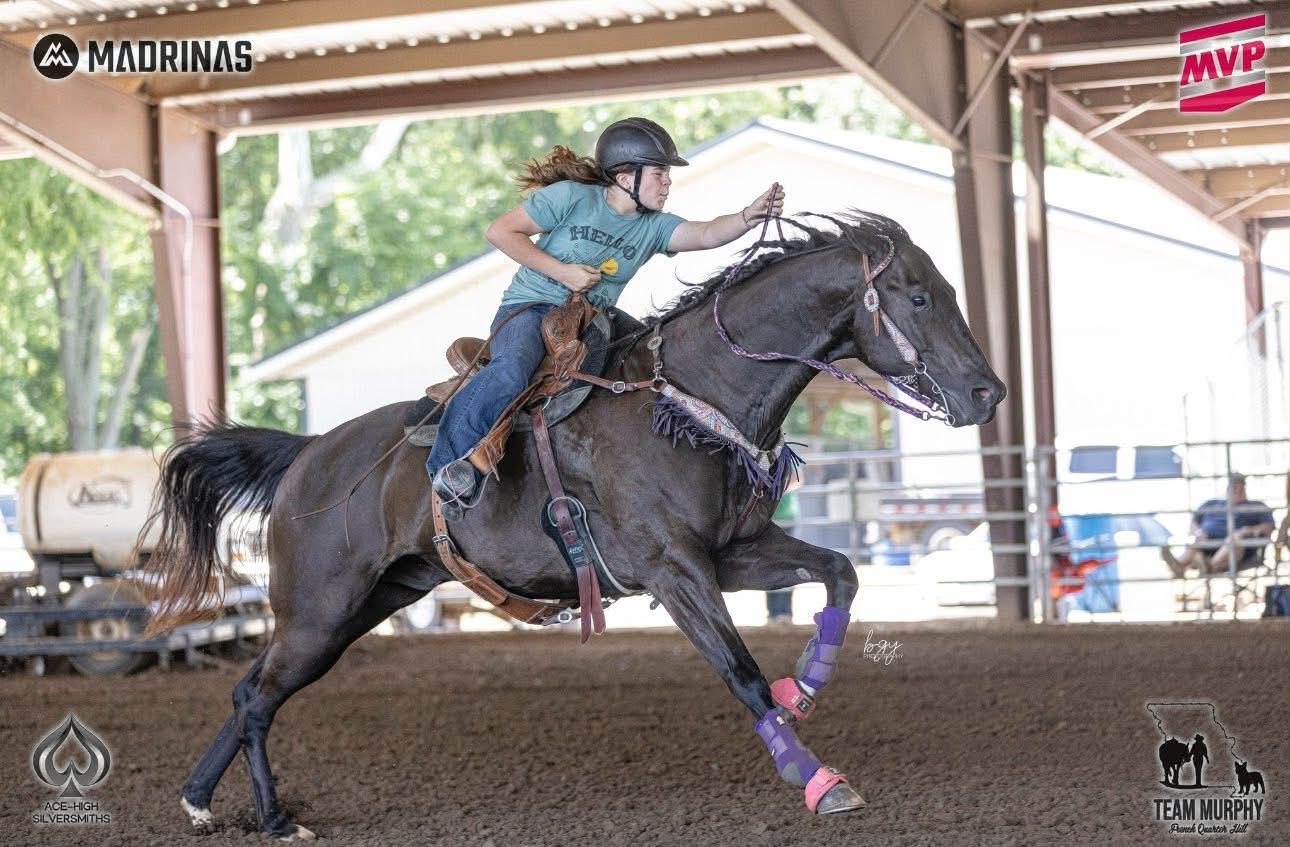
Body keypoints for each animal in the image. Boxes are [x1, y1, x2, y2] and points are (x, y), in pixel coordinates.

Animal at [143, 211, 1005, 839]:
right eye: (919, 297)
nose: (989, 392)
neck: (688, 399)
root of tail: (308, 452)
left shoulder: (735, 552)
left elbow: (841, 573)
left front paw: (806, 685)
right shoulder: (674, 568)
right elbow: (739, 669)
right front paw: (817, 778)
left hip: (364, 604)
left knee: (251, 689)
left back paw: (199, 799)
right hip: (321, 610)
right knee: (259, 696)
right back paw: (274, 819)